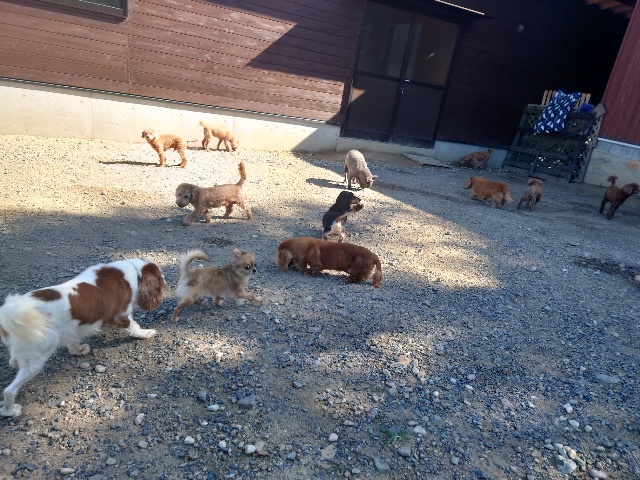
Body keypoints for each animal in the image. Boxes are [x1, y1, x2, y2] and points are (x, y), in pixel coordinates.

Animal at [0, 259, 166, 417]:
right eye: (161, 278)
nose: (166, 283)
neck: (134, 270)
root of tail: (10, 314)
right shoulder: (121, 315)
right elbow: (135, 327)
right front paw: (146, 333)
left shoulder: (72, 327)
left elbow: (73, 343)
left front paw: (79, 351)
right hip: (37, 357)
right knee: (9, 390)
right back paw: (10, 411)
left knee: (13, 360)